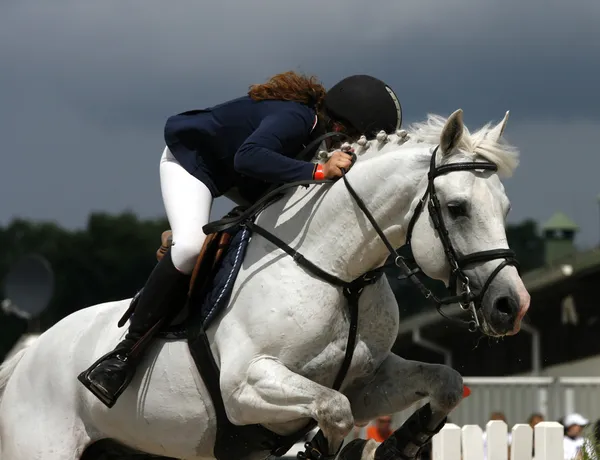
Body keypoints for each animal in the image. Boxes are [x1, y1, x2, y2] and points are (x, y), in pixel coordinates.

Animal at [0, 108, 528, 460]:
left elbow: (444, 382)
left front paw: (400, 445)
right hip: (44, 447)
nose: (511, 306)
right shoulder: (245, 386)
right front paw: (320, 451)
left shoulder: (368, 381)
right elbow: (333, 410)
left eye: (505, 208)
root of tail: (28, 355)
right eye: (457, 208)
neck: (341, 278)